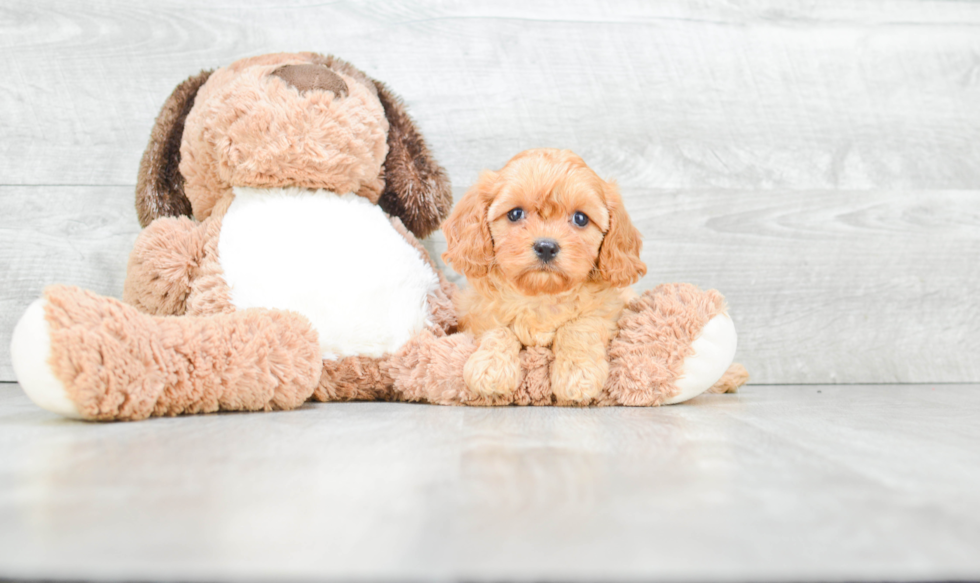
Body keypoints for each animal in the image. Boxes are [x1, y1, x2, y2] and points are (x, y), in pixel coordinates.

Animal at [442, 148, 644, 404]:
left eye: (580, 218)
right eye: (515, 214)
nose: (546, 247)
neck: (541, 295)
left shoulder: (608, 311)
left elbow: (578, 327)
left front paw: (578, 374)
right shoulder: (476, 312)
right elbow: (499, 329)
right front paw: (490, 367)